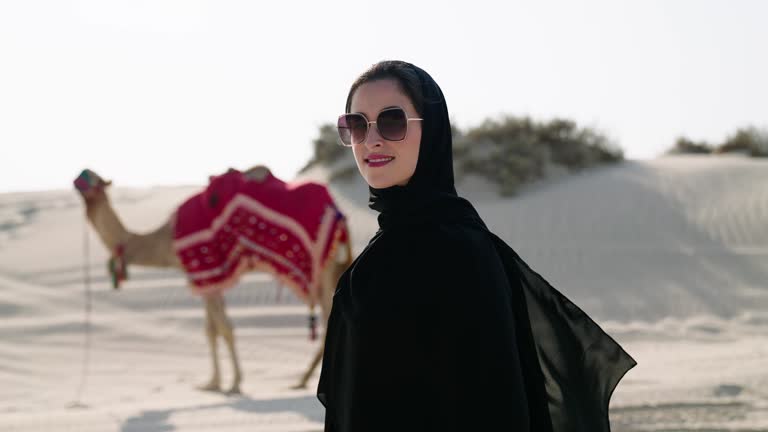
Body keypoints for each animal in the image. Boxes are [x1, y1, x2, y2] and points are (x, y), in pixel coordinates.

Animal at [74, 166, 352, 394]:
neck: (164, 240)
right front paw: (212, 382)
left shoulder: (203, 271)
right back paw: (301, 380)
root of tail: (338, 212)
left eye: (92, 179)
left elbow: (223, 329)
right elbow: (211, 330)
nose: (77, 178)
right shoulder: (210, 279)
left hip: (324, 269)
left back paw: (303, 381)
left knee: (327, 319)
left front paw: (234, 383)